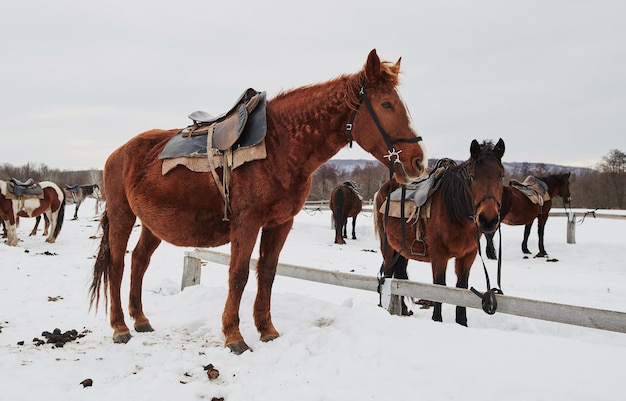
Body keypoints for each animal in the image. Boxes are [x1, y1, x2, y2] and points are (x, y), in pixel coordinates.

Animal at [90, 50, 426, 354]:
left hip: (151, 224)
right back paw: (120, 327)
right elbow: (238, 275)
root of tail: (117, 154)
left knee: (139, 261)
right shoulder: (246, 222)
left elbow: (267, 273)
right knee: (117, 265)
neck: (281, 145)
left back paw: (140, 319)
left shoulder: (280, 223)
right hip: (122, 215)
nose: (418, 162)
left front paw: (267, 330)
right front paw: (233, 335)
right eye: (386, 104)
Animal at [372, 139, 504, 324]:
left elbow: (461, 288)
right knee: (388, 274)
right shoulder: (439, 255)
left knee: (399, 276)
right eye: (472, 177)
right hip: (388, 247)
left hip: (402, 251)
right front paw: (437, 319)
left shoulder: (467, 256)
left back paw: (403, 309)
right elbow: (439, 287)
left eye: (501, 176)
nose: (488, 220)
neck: (455, 210)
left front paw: (462, 322)